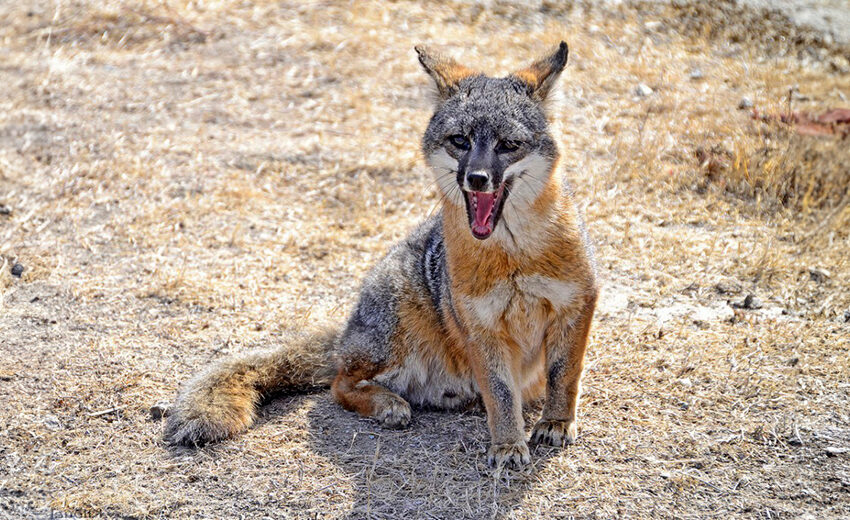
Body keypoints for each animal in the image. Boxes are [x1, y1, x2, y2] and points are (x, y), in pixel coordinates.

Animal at [164, 42, 596, 470]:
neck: (514, 259)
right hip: (398, 331)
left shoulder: (577, 306)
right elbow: (502, 394)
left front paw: (556, 423)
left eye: (508, 145)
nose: (476, 178)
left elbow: (564, 376)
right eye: (460, 141)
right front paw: (508, 444)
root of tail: (346, 331)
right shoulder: (481, 326)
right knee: (339, 383)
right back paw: (390, 404)